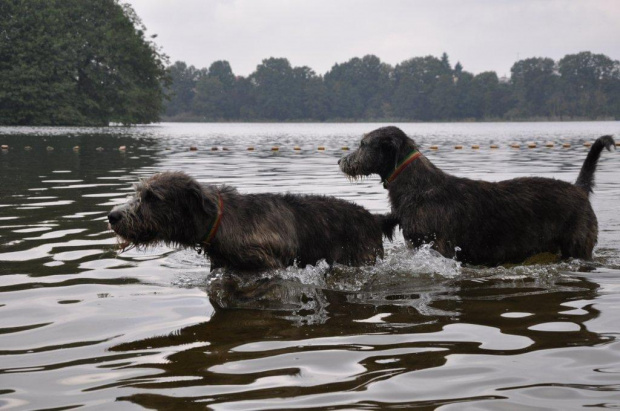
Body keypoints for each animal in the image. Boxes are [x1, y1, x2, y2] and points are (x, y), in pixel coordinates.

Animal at [106, 172, 388, 272]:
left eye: (152, 196)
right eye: (138, 192)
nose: (113, 216)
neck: (221, 221)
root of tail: (376, 218)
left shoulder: (269, 261)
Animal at [340, 126, 616, 268]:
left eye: (363, 144)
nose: (341, 161)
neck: (417, 186)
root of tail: (579, 189)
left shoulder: (439, 246)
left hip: (578, 243)